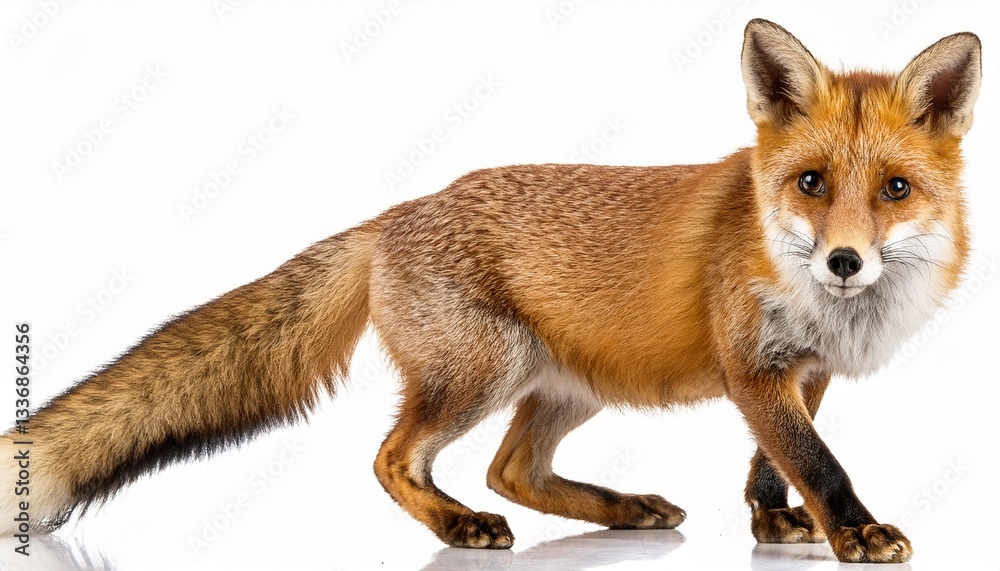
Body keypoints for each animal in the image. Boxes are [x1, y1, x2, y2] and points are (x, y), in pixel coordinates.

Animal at [1, 19, 982, 563]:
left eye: (894, 189)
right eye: (812, 183)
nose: (845, 261)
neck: (829, 310)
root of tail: (397, 211)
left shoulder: (801, 374)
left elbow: (774, 464)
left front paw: (778, 525)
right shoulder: (755, 370)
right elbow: (819, 461)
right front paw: (857, 533)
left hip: (564, 388)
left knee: (514, 469)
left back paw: (622, 510)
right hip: (485, 369)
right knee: (399, 459)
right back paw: (458, 526)